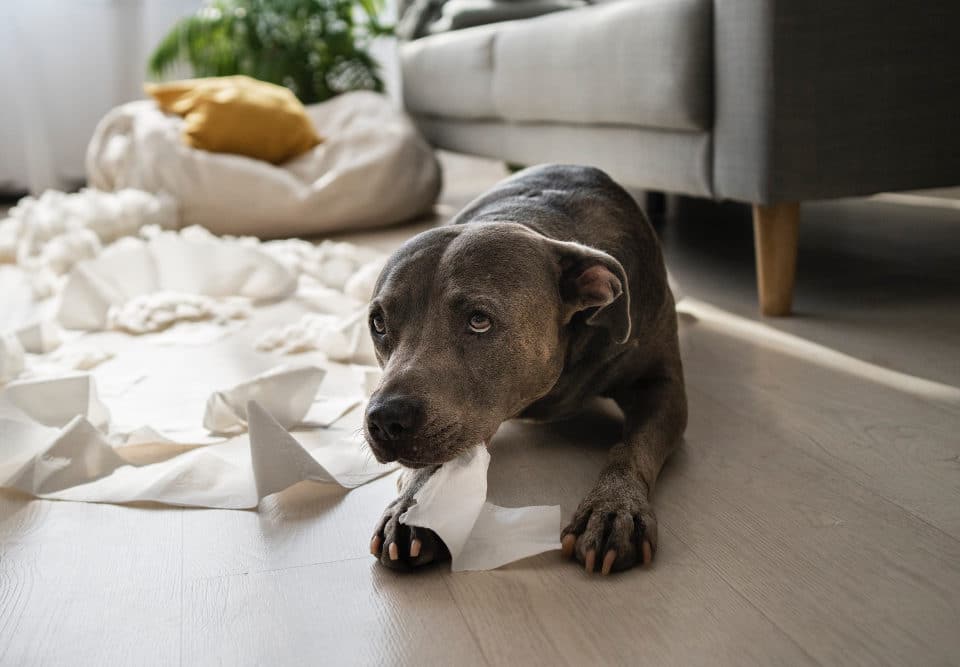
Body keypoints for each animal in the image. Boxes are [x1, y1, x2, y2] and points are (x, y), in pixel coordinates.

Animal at [364, 164, 688, 576]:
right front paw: (414, 506)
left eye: (479, 321)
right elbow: (436, 461)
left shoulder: (662, 386)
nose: (385, 419)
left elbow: (632, 446)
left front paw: (613, 508)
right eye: (378, 323)